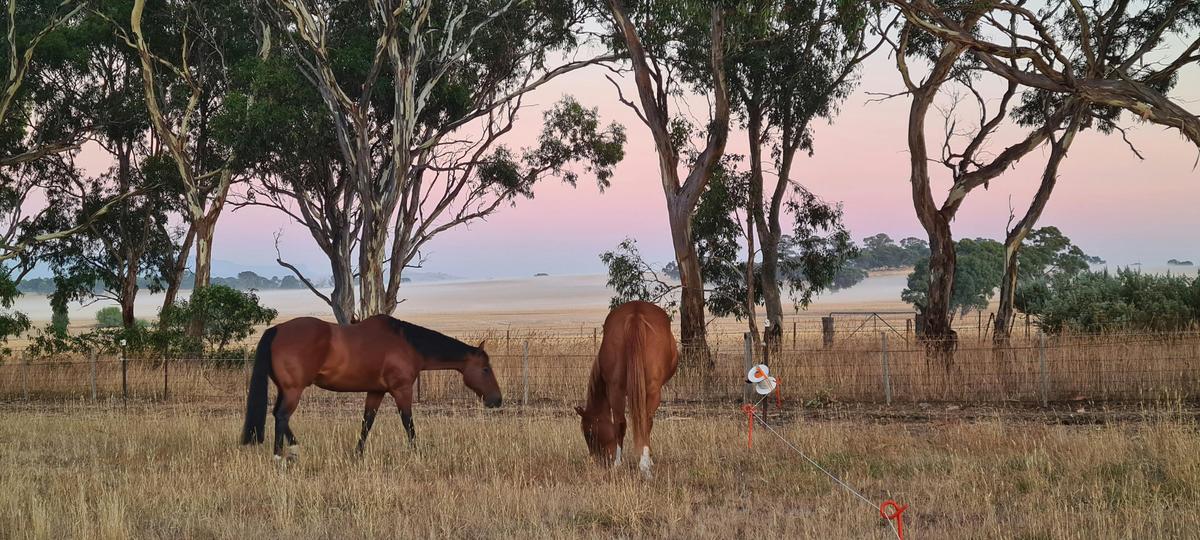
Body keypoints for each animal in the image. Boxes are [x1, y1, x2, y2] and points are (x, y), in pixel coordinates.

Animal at [240, 315, 502, 460]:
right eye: (485, 369)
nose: (497, 400)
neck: (407, 344)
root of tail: (278, 329)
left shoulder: (376, 391)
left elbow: (367, 422)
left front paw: (357, 454)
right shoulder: (401, 390)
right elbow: (408, 422)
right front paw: (416, 452)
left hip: (285, 389)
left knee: (277, 414)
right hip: (294, 390)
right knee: (282, 416)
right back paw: (284, 454)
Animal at [574, 301, 678, 478]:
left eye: (589, 433)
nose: (599, 461)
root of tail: (635, 314)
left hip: (617, 389)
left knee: (622, 423)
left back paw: (624, 464)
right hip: (650, 390)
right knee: (644, 421)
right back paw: (642, 465)